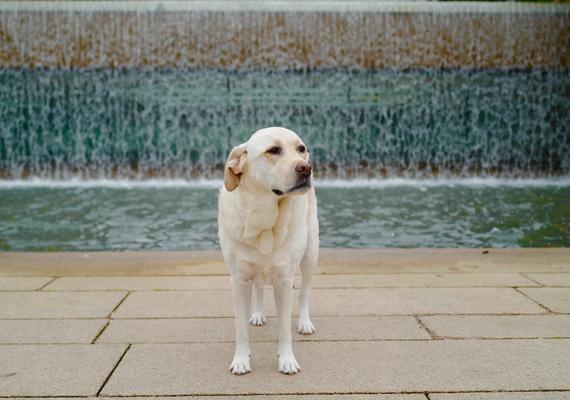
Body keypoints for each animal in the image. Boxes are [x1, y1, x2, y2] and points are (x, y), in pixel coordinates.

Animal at [217, 127, 318, 376]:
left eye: (301, 149)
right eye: (273, 150)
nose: (306, 168)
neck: (265, 220)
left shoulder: (284, 280)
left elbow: (284, 329)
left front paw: (287, 360)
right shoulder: (239, 279)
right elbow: (240, 329)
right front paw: (241, 360)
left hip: (311, 253)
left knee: (304, 293)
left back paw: (304, 322)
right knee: (259, 287)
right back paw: (257, 314)